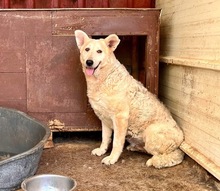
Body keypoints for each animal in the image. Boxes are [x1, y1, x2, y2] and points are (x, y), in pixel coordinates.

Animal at [74, 29, 184, 169]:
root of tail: (181, 138)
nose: (89, 62)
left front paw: (112, 158)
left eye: (99, 51)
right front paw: (102, 150)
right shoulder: (104, 119)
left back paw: (155, 160)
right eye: (87, 49)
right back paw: (135, 147)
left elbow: (116, 142)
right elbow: (105, 138)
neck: (103, 79)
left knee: (172, 155)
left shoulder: (120, 118)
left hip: (151, 132)